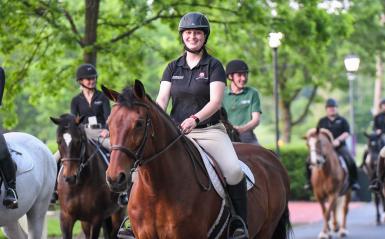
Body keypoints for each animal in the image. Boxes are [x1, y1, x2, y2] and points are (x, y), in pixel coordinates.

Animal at [100, 80, 290, 239]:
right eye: (109, 122)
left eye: (139, 123)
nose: (115, 178)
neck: (157, 190)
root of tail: (270, 155)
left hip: (266, 230)